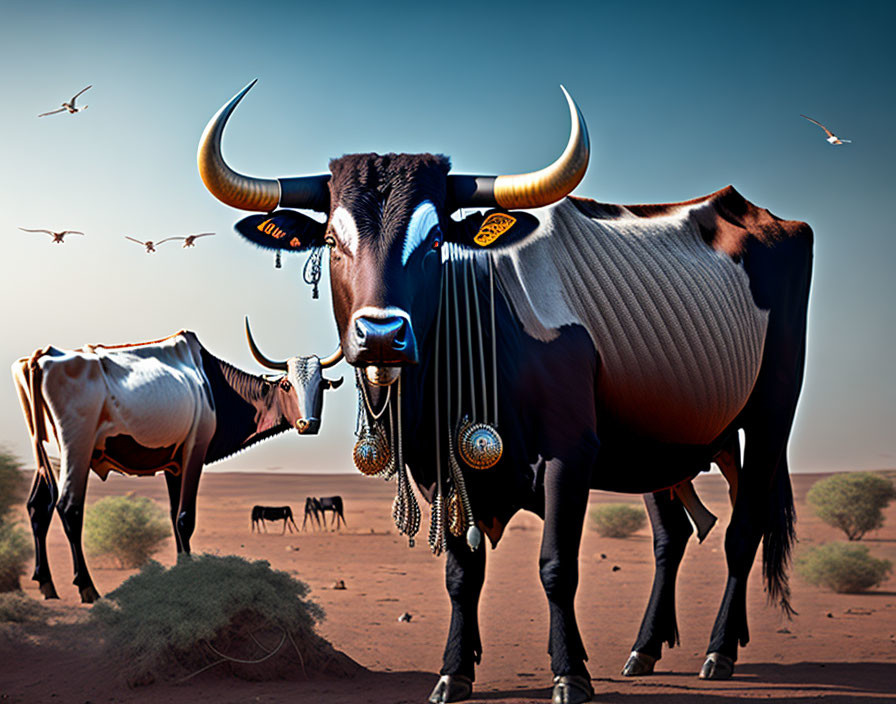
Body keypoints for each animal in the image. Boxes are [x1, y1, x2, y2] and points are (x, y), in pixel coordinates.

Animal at [198, 84, 812, 704]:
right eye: (330, 240)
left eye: (435, 240)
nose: (382, 335)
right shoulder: (440, 466)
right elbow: (461, 573)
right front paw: (454, 672)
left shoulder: (571, 453)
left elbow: (557, 566)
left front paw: (570, 673)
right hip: (658, 445)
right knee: (673, 535)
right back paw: (645, 649)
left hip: (770, 415)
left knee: (743, 529)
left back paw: (720, 650)